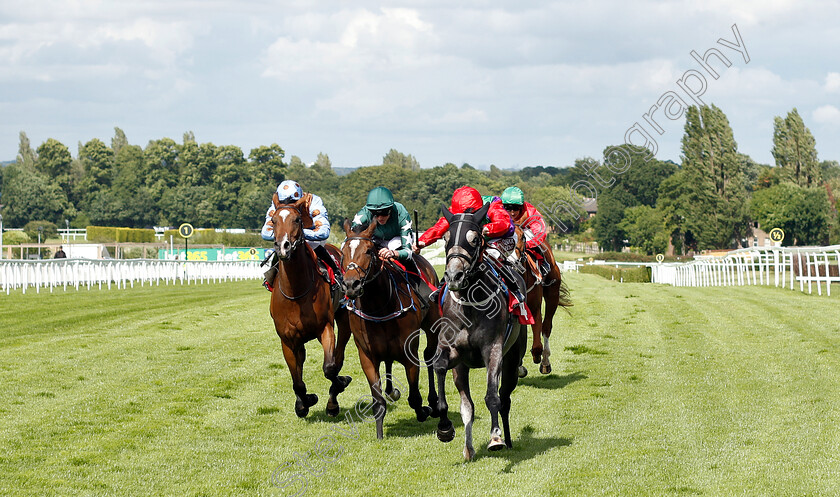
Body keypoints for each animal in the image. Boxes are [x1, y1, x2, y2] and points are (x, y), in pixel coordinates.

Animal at [266, 196, 352, 416]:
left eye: (297, 219)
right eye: (274, 220)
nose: (283, 247)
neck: (296, 291)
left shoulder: (325, 328)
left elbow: (330, 367)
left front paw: (339, 387)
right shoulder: (287, 340)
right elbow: (297, 379)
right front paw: (304, 402)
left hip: (343, 319)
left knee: (338, 356)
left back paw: (333, 399)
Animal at [340, 219, 442, 440]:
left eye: (368, 250)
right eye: (343, 252)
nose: (351, 285)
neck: (379, 306)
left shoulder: (409, 352)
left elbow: (414, 396)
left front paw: (424, 410)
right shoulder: (367, 355)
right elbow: (377, 400)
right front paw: (379, 434)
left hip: (432, 326)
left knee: (430, 356)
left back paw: (434, 402)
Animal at [434, 202, 524, 462]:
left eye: (474, 239)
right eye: (445, 238)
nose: (454, 276)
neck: (469, 303)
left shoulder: (493, 350)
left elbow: (492, 396)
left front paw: (495, 438)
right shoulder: (453, 352)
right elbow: (440, 368)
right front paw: (445, 427)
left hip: (512, 358)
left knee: (505, 398)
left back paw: (507, 439)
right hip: (462, 368)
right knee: (468, 406)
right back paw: (469, 448)